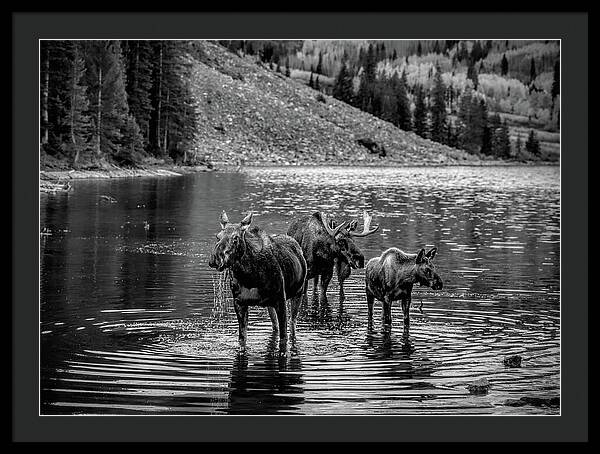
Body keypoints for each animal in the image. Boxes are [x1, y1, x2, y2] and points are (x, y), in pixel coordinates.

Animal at [209, 212, 308, 344]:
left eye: (236, 238)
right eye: (217, 236)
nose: (215, 259)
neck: (249, 277)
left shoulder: (281, 300)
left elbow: (284, 337)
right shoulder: (239, 303)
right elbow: (242, 339)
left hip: (298, 293)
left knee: (292, 325)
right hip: (270, 304)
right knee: (275, 326)